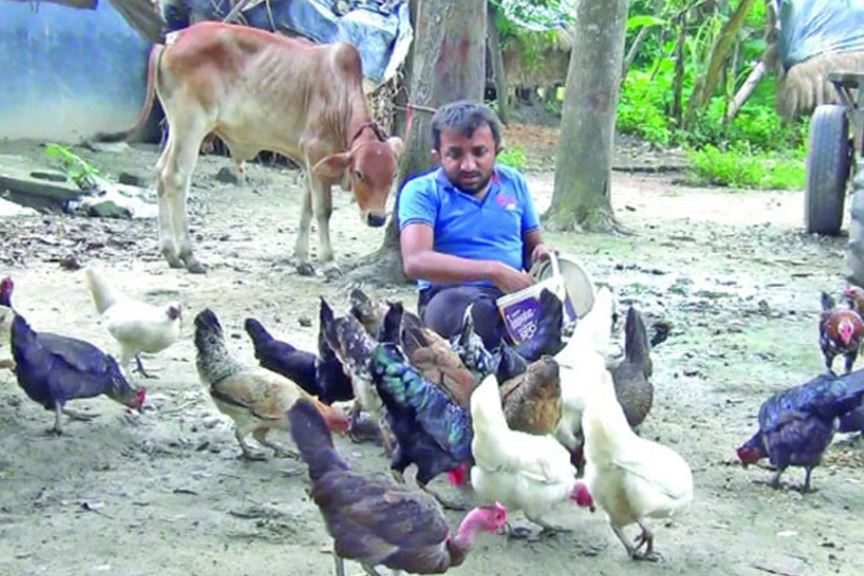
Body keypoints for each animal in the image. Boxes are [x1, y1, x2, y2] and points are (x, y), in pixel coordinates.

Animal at [150, 22, 403, 274]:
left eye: (393, 175)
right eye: (359, 173)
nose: (377, 218)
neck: (340, 98)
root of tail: (175, 38)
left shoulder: (310, 165)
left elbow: (306, 209)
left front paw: (302, 260)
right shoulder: (315, 151)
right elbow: (323, 210)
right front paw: (328, 261)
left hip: (177, 127)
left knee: (160, 172)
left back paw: (170, 252)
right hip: (191, 124)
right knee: (175, 177)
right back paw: (188, 255)